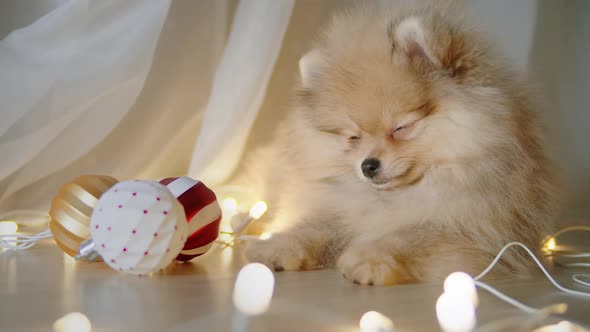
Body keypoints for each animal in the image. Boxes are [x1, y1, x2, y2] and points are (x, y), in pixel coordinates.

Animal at [243, 2, 556, 286]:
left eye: (401, 128)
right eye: (353, 137)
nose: (368, 166)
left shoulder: (478, 232)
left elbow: (412, 237)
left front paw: (368, 257)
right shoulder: (342, 211)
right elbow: (315, 227)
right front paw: (275, 245)